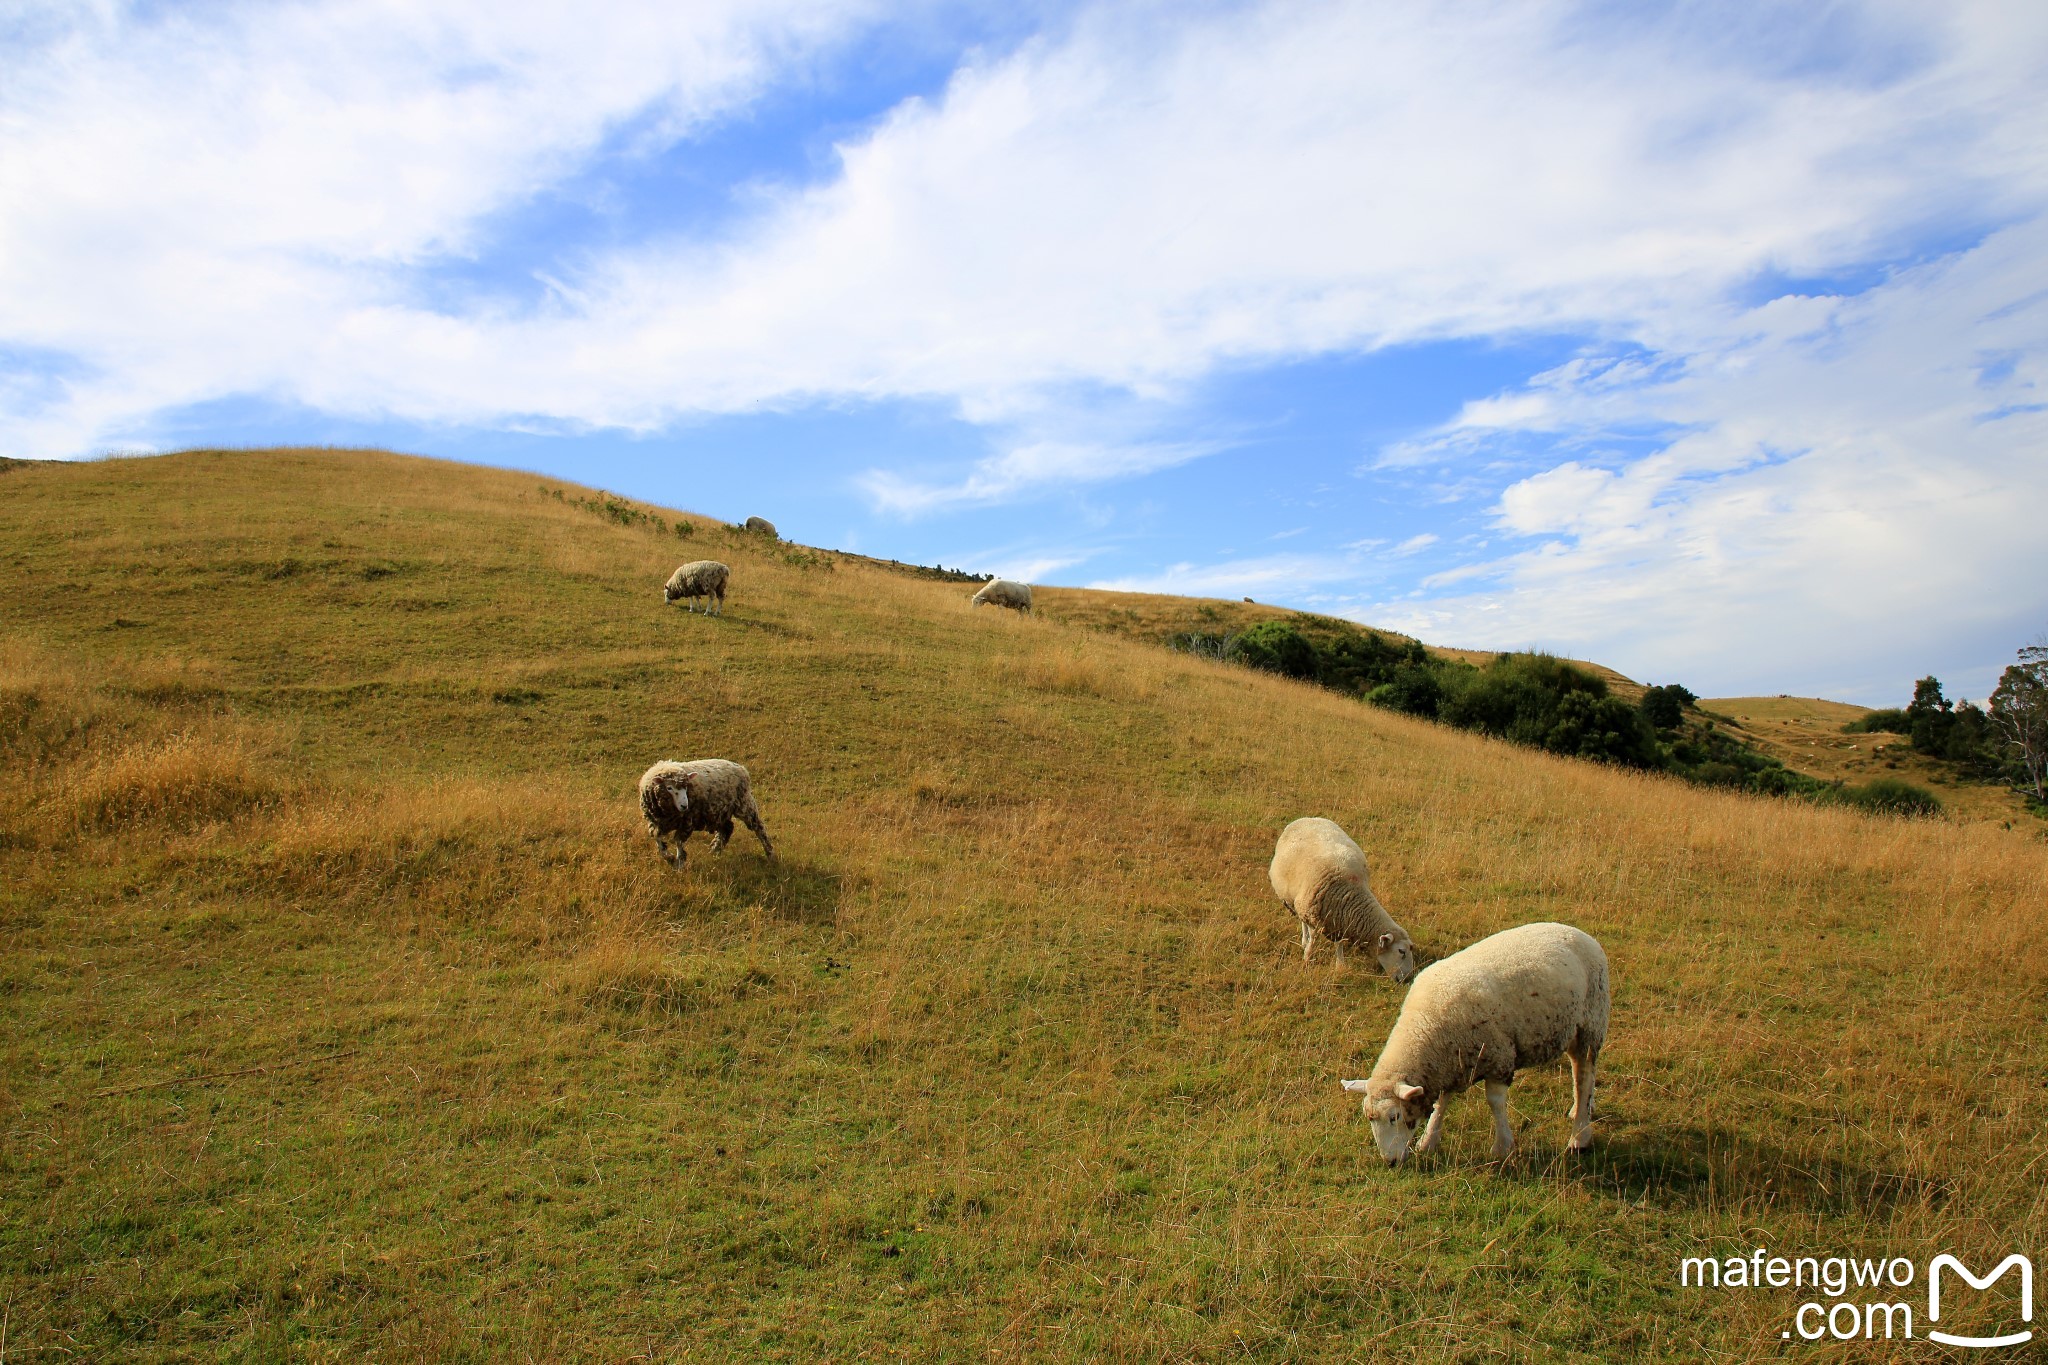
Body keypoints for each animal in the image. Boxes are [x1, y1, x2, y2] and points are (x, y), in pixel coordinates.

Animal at [634, 753, 770, 871]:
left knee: (759, 827)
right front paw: (669, 857)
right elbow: (656, 838)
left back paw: (769, 852)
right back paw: (715, 851)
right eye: (669, 788)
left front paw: (679, 862)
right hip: (719, 812)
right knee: (727, 828)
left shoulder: (687, 821)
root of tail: (741, 767)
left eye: (686, 787)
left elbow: (678, 841)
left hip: (744, 804)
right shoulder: (656, 822)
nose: (684, 806)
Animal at [1261, 818, 1409, 978]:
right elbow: (1313, 938)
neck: (1350, 894)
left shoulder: (1339, 920)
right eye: (1401, 951)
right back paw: (1304, 941)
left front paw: (1340, 964)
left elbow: (1339, 943)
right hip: (1296, 900)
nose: (1407, 979)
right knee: (1302, 922)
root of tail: (1306, 818)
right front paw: (1307, 957)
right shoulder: (1315, 914)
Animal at [1343, 916, 1613, 1162]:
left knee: (1584, 1074)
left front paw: (1503, 1146)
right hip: (1573, 1028)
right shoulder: (1450, 1063)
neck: (1425, 1027)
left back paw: (1580, 1136)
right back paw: (1581, 1109)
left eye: (1394, 1117)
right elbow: (1442, 1103)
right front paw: (1428, 1140)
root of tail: (1577, 932)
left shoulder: (1499, 1057)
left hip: (1591, 1022)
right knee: (1580, 1069)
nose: (1390, 1162)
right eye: (1369, 1118)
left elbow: (1495, 1103)